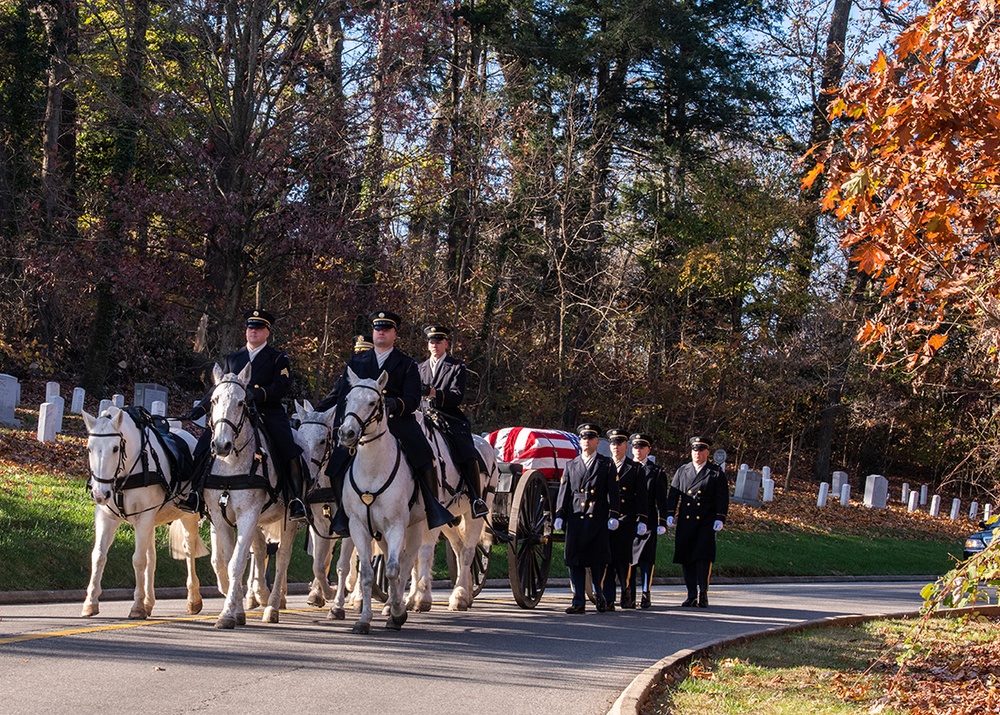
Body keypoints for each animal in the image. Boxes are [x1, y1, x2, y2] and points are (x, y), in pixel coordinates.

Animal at [82, 408, 207, 620]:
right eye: (90, 448)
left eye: (115, 448)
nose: (99, 494)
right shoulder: (106, 517)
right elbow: (98, 555)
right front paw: (91, 602)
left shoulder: (144, 518)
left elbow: (138, 560)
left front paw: (137, 606)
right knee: (152, 557)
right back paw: (150, 602)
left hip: (187, 516)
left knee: (189, 550)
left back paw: (193, 599)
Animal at [201, 366, 298, 628]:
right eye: (214, 400)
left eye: (241, 402)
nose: (221, 445)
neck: (231, 464)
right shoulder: (221, 517)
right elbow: (228, 561)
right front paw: (236, 610)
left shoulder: (248, 514)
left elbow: (237, 563)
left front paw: (227, 614)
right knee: (262, 549)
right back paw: (261, 595)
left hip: (288, 520)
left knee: (283, 559)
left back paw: (272, 606)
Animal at [336, 370, 434, 632]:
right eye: (348, 398)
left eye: (373, 402)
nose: (347, 434)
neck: (372, 470)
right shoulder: (358, 526)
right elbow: (367, 573)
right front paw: (363, 619)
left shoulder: (396, 525)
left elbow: (392, 569)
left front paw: (398, 613)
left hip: (416, 526)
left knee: (406, 561)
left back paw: (395, 607)